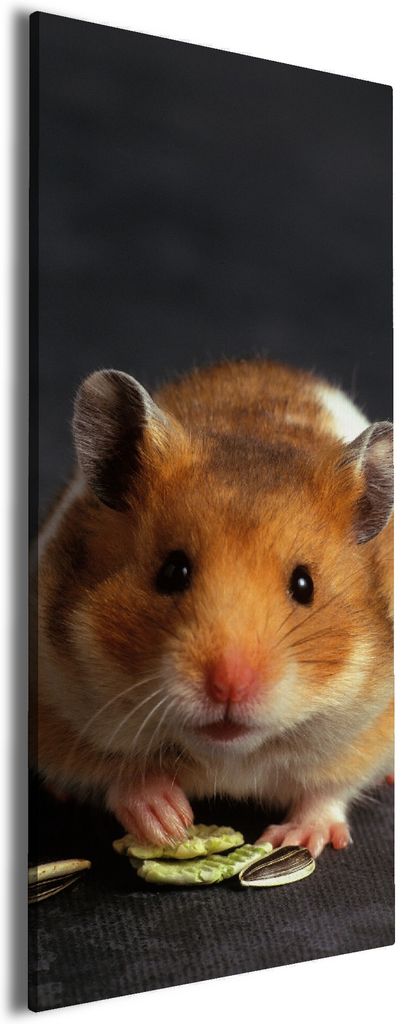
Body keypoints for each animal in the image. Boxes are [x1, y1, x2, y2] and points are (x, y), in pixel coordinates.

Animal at [33, 359, 393, 858]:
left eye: (304, 585)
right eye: (172, 571)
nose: (229, 687)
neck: (228, 753)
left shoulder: (370, 727)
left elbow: (328, 791)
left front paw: (293, 840)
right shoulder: (52, 699)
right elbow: (115, 773)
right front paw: (168, 822)